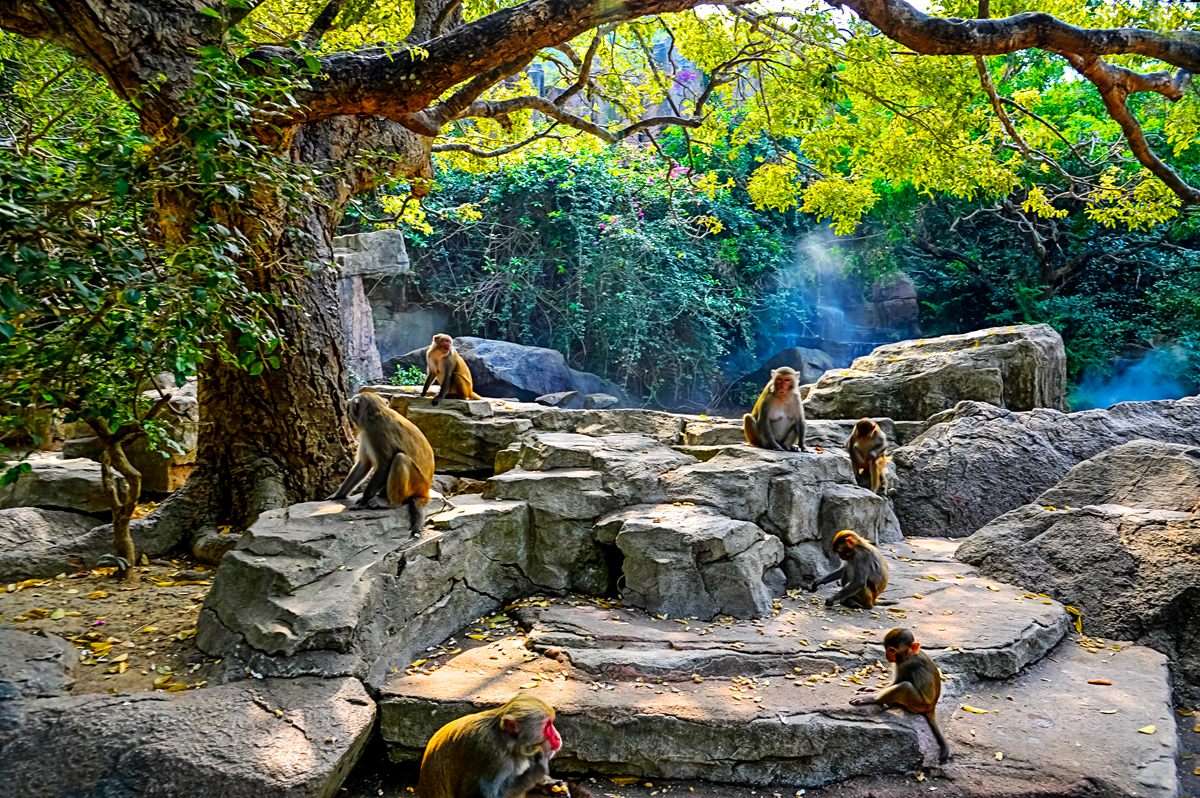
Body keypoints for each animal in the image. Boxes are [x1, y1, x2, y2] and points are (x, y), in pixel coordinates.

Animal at [326, 388, 434, 532]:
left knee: (399, 459)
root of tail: (425, 491)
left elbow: (384, 465)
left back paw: (391, 503)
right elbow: (364, 464)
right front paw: (338, 494)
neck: (376, 413)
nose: (347, 405)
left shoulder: (376, 432)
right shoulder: (367, 434)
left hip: (417, 482)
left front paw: (364, 501)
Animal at [849, 624, 950, 763]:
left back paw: (874, 699)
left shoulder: (906, 664)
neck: (910, 655)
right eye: (887, 649)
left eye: (892, 650)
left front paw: (872, 696)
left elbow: (899, 682)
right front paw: (873, 689)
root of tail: (931, 707)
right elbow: (894, 682)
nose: (886, 655)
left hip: (919, 704)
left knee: (905, 686)